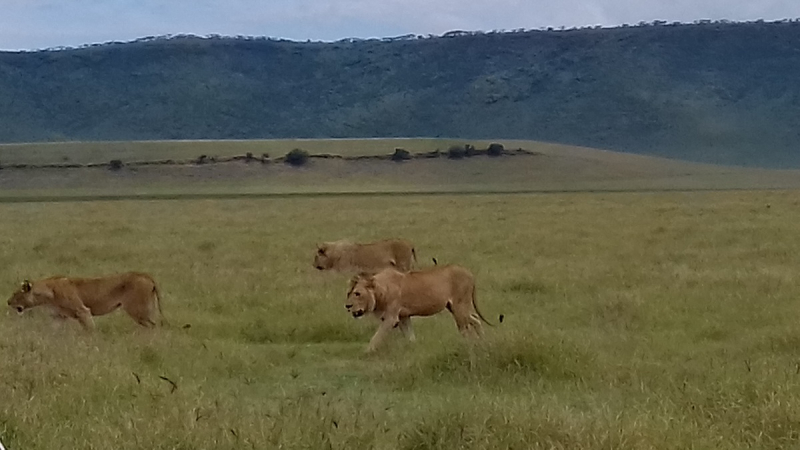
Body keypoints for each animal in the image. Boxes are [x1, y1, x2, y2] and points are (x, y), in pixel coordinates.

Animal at [7, 270, 166, 330]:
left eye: (15, 294)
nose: (8, 302)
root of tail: (145, 275)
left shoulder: (82, 311)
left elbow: (89, 330)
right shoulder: (58, 317)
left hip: (137, 310)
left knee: (153, 326)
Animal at [342, 266, 488, 354]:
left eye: (357, 293)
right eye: (348, 293)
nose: (347, 306)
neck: (380, 290)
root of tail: (469, 273)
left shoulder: (391, 318)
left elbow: (377, 336)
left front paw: (367, 351)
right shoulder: (403, 317)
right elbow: (410, 336)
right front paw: (413, 349)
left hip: (459, 308)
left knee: (466, 329)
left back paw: (470, 346)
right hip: (455, 308)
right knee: (476, 319)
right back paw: (483, 342)